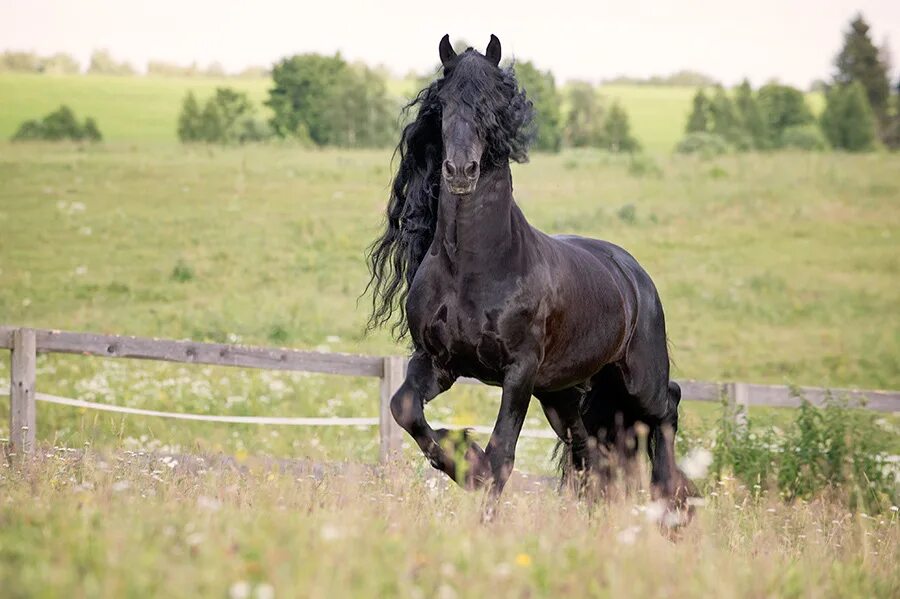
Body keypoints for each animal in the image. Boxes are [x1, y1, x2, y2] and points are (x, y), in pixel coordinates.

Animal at [370, 34, 692, 506]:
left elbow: (501, 455)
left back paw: (670, 500)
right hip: (565, 394)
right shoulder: (438, 361)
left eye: (492, 103)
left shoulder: (518, 372)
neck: (474, 269)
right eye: (443, 103)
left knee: (667, 407)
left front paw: (477, 473)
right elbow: (405, 408)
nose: (460, 170)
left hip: (637, 378)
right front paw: (461, 460)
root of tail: (634, 275)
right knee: (590, 453)